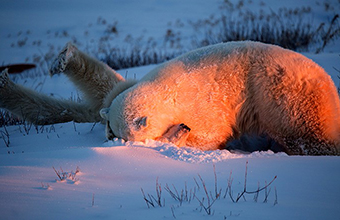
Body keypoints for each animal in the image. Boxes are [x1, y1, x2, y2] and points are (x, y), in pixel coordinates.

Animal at [0, 41, 338, 155]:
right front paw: (63, 59)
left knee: (305, 132)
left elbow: (209, 134)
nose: (117, 143)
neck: (167, 90)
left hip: (283, 95)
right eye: (111, 132)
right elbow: (106, 89)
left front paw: (178, 135)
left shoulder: (205, 104)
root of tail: (329, 85)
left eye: (128, 137)